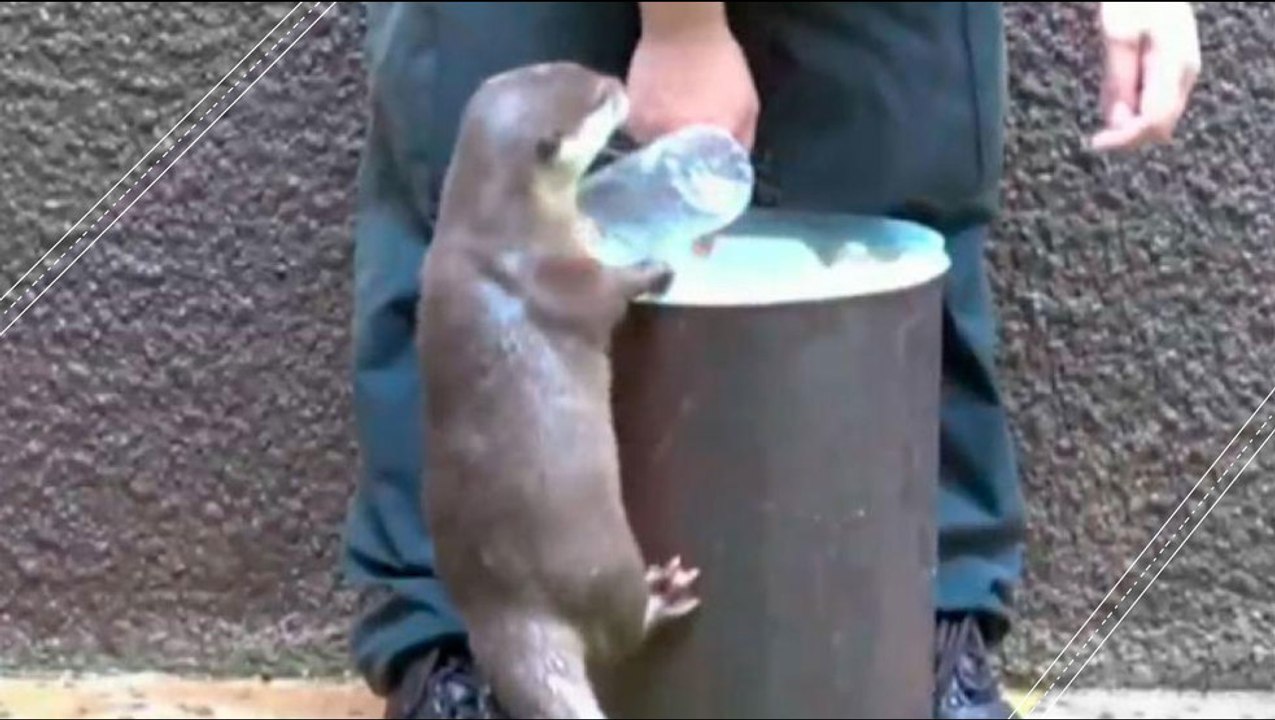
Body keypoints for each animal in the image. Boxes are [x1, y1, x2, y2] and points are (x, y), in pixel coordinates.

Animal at [418, 61, 702, 719]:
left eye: (579, 71)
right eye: (597, 100)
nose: (619, 84)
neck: (501, 232)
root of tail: (509, 608)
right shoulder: (561, 276)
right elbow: (607, 294)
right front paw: (651, 268)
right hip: (602, 558)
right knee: (621, 627)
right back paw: (661, 595)